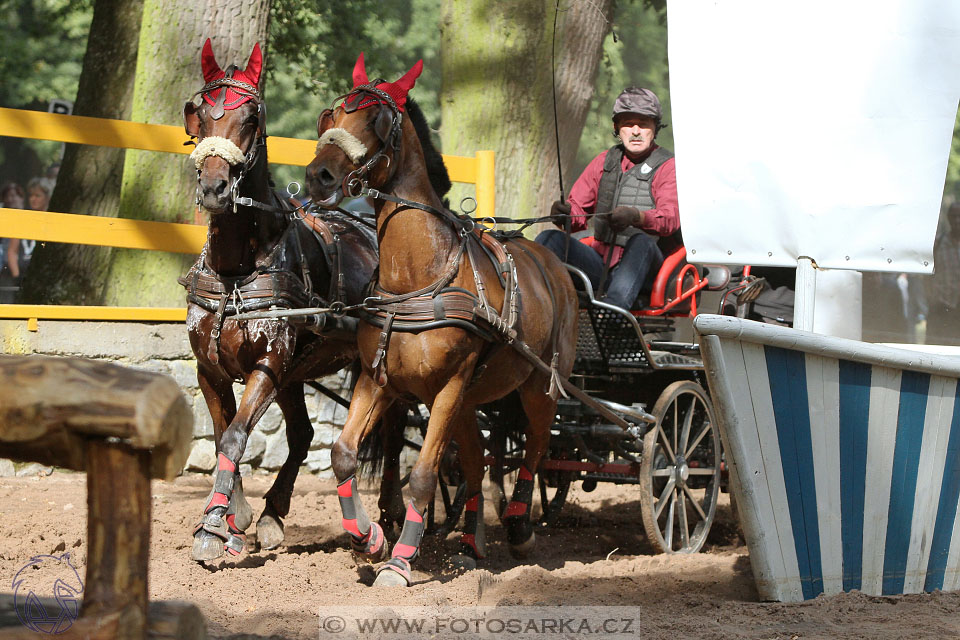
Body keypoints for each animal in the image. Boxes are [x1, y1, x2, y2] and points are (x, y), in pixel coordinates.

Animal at [180, 38, 378, 560]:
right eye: (200, 113)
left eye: (250, 117)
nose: (214, 187)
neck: (236, 270)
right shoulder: (210, 368)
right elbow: (222, 434)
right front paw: (236, 513)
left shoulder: (268, 364)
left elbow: (234, 436)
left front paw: (213, 525)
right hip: (298, 370)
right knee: (304, 433)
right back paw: (272, 514)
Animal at [308, 55, 576, 584]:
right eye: (332, 115)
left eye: (377, 120)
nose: (318, 175)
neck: (418, 274)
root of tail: (554, 264)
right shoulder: (381, 379)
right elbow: (343, 455)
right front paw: (367, 538)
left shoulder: (449, 384)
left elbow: (424, 474)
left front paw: (399, 559)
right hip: (469, 400)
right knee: (475, 464)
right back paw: (471, 544)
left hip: (539, 385)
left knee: (535, 448)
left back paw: (519, 527)